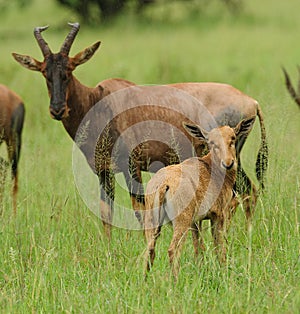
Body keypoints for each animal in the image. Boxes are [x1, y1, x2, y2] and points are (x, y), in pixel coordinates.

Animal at [12, 22, 268, 238]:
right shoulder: (104, 172)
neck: (100, 100)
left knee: (244, 193)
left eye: (69, 70)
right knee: (248, 192)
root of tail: (251, 101)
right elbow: (106, 211)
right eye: (45, 73)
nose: (57, 109)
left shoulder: (132, 167)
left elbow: (139, 209)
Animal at [144, 116, 254, 278]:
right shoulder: (218, 216)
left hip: (153, 225)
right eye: (212, 142)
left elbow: (198, 247)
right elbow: (219, 247)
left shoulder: (195, 222)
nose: (228, 163)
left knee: (149, 250)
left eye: (232, 138)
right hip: (180, 223)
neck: (209, 168)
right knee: (173, 250)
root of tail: (164, 184)